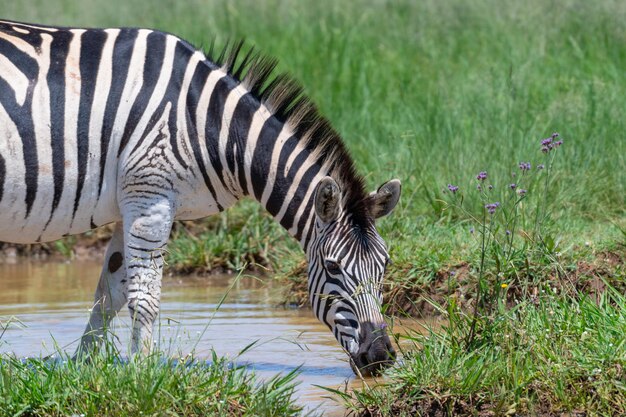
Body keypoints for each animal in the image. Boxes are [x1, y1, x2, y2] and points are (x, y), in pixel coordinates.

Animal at [0, 19, 400, 376]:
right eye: (332, 267)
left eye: (385, 265)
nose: (380, 355)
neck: (214, 129)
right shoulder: (150, 199)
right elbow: (144, 298)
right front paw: (141, 377)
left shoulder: (131, 203)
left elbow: (109, 293)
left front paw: (83, 370)